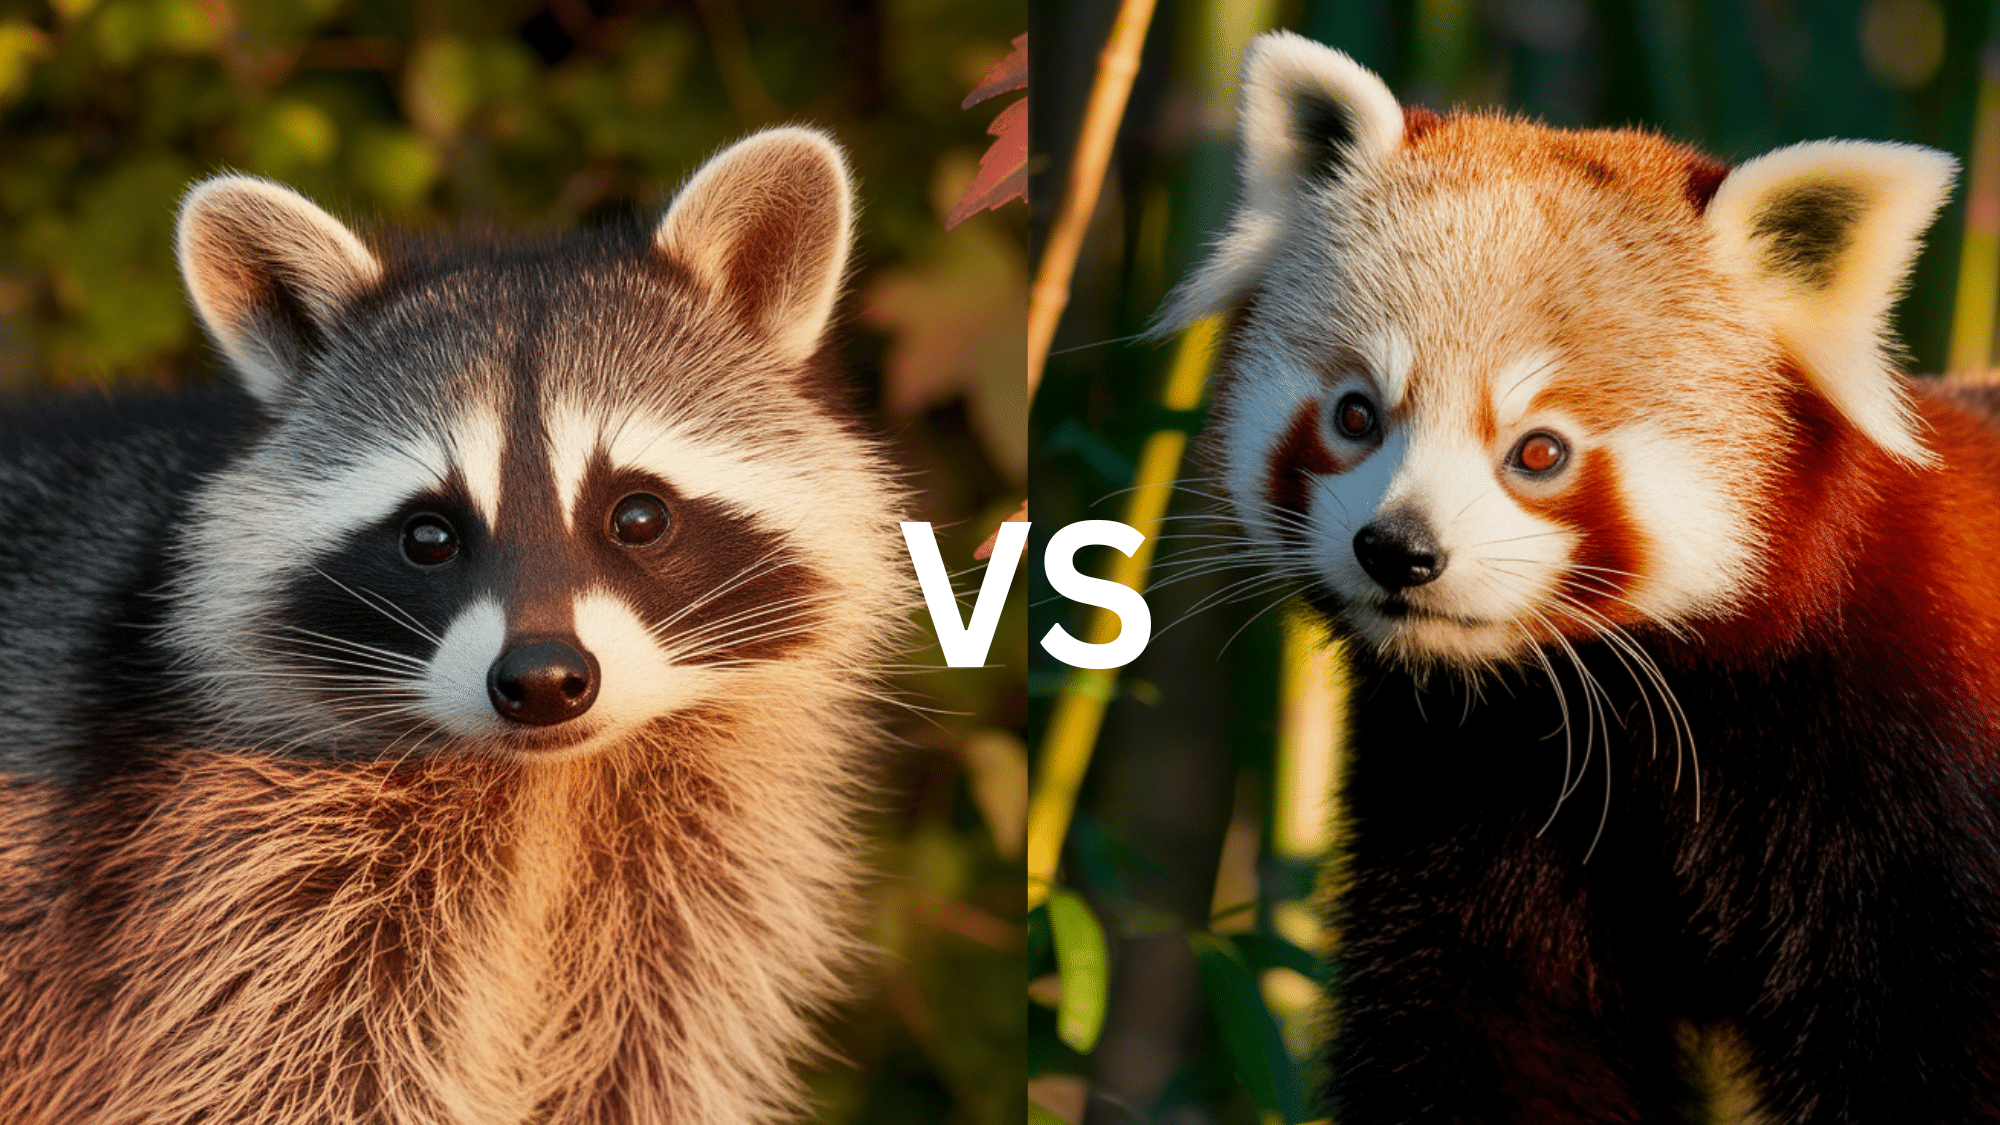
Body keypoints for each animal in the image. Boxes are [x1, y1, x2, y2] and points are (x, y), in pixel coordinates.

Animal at [0, 128, 910, 1124]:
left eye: (639, 515)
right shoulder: (222, 882)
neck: (552, 784)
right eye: (428, 535)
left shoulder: (693, 896)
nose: (544, 680)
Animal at [1161, 31, 2000, 1124]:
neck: (1658, 724)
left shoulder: (1909, 785)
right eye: (1355, 415)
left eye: (1539, 452)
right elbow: (1485, 1032)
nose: (1399, 550)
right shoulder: (1471, 791)